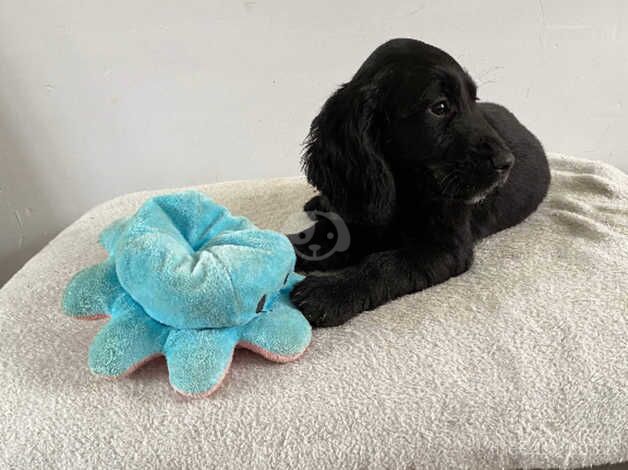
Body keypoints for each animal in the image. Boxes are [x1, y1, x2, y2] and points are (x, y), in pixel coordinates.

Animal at [290, 38, 548, 326]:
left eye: (474, 100)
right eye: (440, 107)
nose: (507, 162)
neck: (404, 189)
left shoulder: (444, 248)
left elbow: (384, 264)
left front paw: (329, 292)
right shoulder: (360, 214)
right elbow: (314, 238)